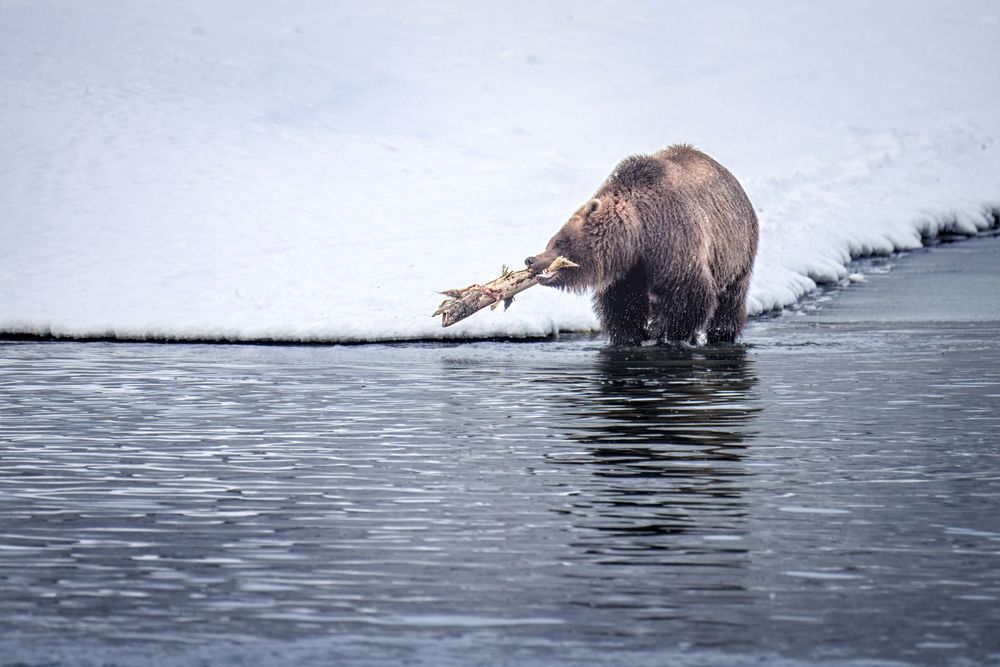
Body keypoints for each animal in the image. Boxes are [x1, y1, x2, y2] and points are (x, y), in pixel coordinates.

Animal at [525, 145, 758, 346]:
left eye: (560, 242)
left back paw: (721, 334)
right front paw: (631, 337)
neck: (639, 236)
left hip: (735, 253)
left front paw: (664, 334)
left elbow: (688, 299)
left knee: (729, 303)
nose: (531, 260)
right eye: (550, 241)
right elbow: (623, 307)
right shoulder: (627, 272)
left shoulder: (676, 244)